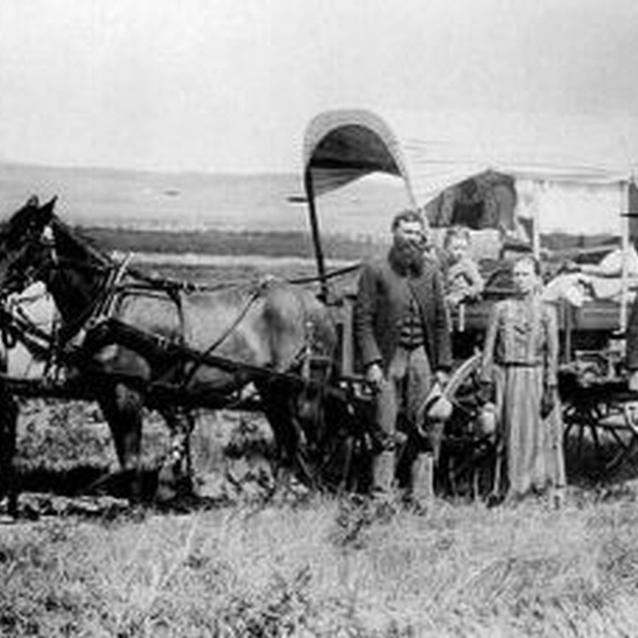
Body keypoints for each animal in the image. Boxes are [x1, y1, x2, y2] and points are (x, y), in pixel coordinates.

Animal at [0, 198, 342, 508]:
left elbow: (131, 456)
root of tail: (316, 305)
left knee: (316, 441)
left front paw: (137, 508)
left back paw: (322, 495)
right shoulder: (107, 391)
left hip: (305, 390)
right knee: (288, 439)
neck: (111, 306)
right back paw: (277, 498)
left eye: (24, 238)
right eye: (6, 233)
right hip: (271, 389)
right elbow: (125, 453)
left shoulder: (128, 390)